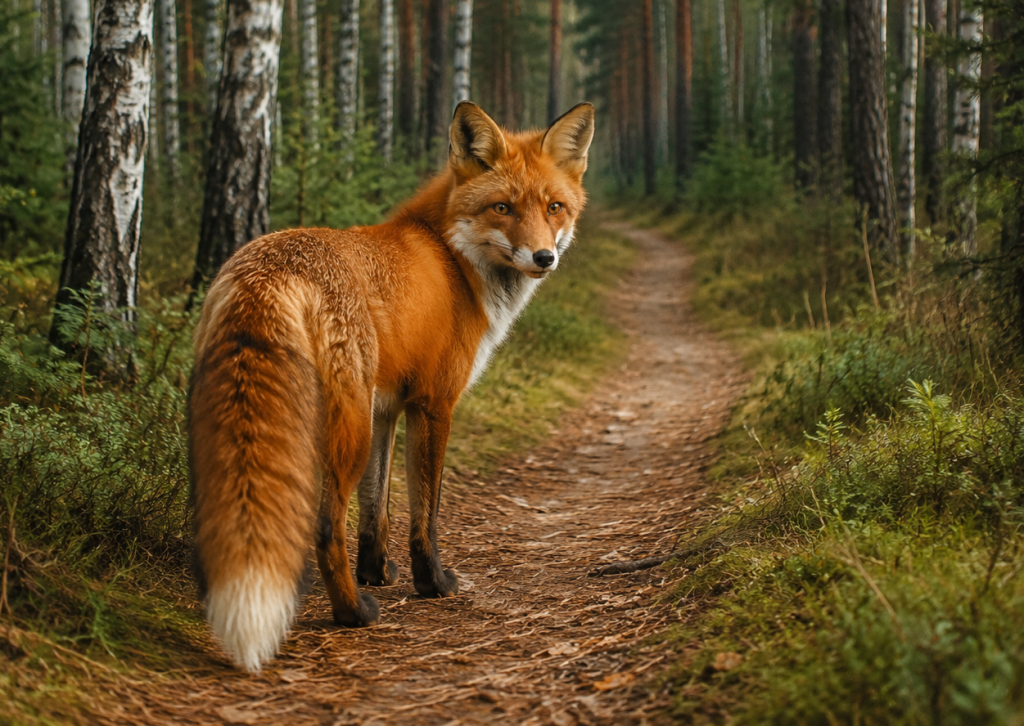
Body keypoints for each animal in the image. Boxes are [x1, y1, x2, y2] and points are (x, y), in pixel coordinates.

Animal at [188, 101, 595, 672]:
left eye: (555, 207)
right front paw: (433, 582)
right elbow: (426, 511)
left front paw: (377, 571)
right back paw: (353, 613)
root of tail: (266, 271)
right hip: (347, 429)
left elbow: (376, 506)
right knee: (325, 527)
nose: (543, 258)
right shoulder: (433, 403)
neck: (453, 259)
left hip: (251, 420)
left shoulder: (387, 409)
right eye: (503, 208)